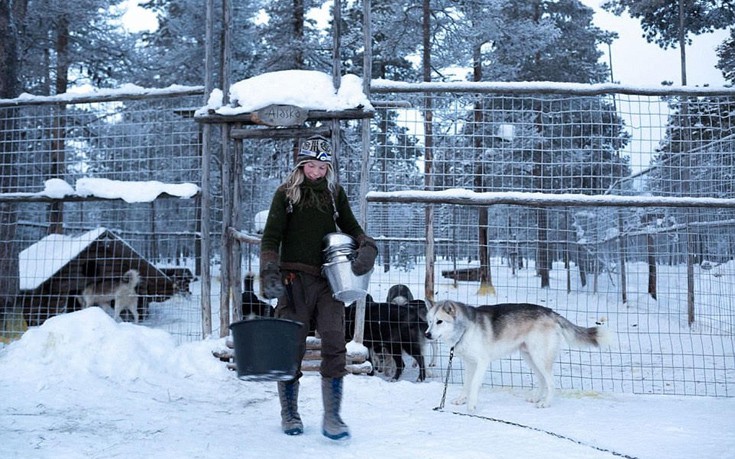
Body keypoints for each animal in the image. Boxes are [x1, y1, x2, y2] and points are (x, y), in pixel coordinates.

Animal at [422, 300, 612, 412]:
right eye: (430, 322)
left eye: (440, 321)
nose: (427, 335)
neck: (465, 329)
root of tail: (550, 312)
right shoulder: (469, 364)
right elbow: (466, 385)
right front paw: (461, 399)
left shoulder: (482, 363)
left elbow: (474, 385)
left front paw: (471, 405)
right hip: (529, 357)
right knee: (542, 380)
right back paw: (536, 397)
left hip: (539, 358)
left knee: (551, 383)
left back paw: (545, 403)